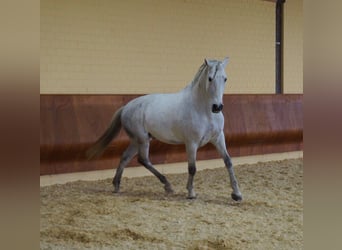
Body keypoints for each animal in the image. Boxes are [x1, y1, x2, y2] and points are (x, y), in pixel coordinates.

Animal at [87, 58, 242, 201]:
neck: (204, 110)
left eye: (225, 78)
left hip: (137, 141)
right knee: (143, 159)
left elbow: (228, 161)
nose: (217, 107)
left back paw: (117, 185)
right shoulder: (191, 143)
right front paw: (191, 193)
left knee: (125, 157)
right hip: (142, 140)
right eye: (210, 78)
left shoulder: (218, 138)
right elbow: (192, 168)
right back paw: (167, 185)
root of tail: (126, 107)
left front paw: (237, 194)